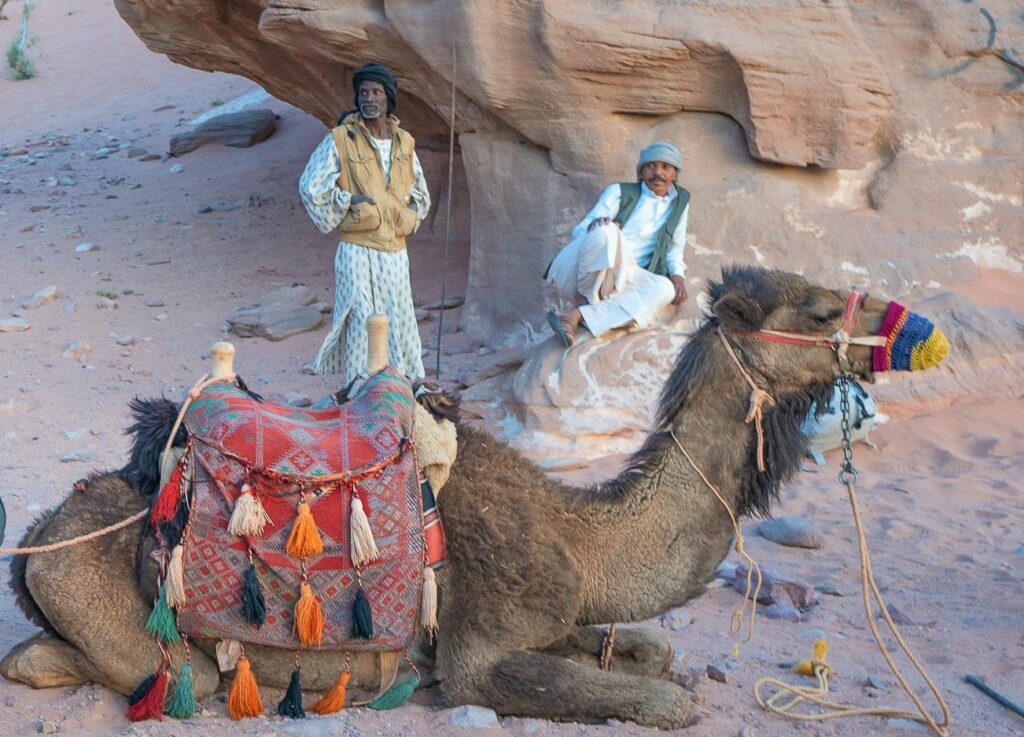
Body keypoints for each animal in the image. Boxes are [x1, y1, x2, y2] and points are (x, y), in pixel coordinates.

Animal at [2, 266, 948, 728]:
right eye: (820, 309)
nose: (919, 332)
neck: (582, 538)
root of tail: (40, 535)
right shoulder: (481, 650)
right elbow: (664, 699)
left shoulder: (562, 614)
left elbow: (650, 651)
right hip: (117, 609)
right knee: (145, 666)